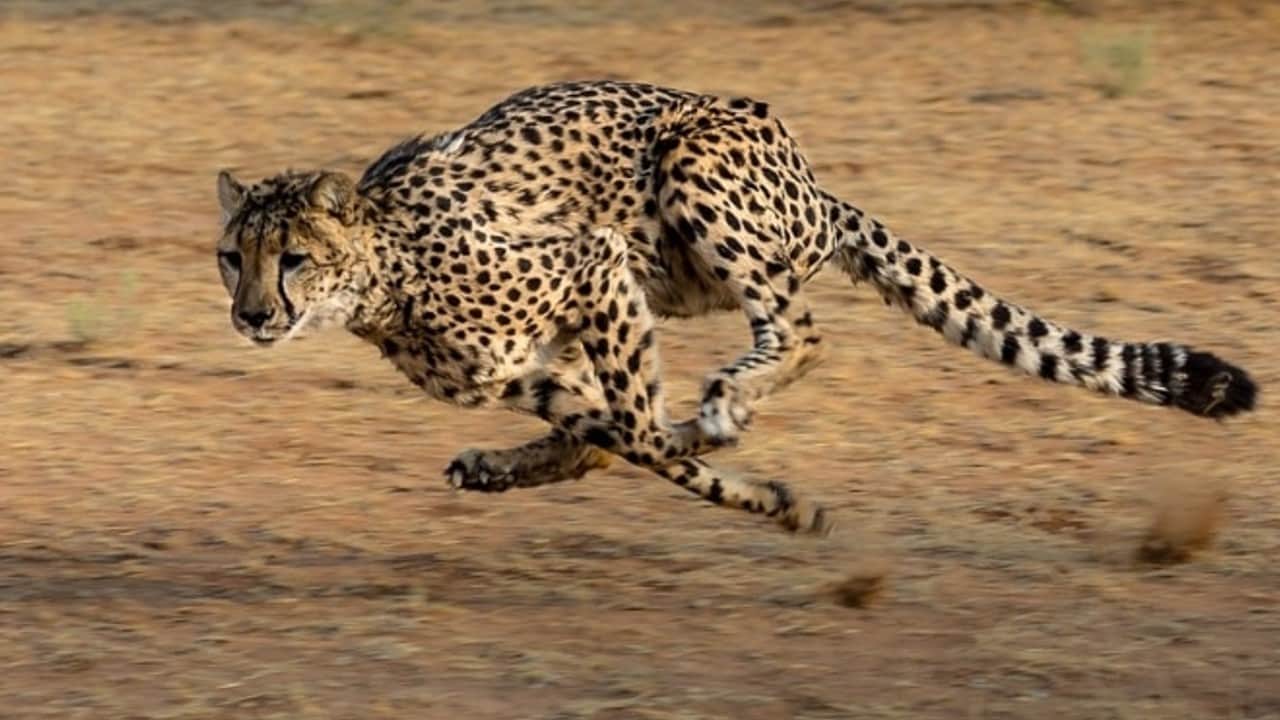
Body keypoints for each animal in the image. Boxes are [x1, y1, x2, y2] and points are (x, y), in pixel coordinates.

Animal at [214, 80, 1257, 536]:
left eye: (292, 258)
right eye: (233, 258)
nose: (252, 316)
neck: (383, 274)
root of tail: (813, 181)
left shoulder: (592, 263)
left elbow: (640, 432)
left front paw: (757, 484)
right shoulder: (525, 369)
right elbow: (616, 437)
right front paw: (765, 495)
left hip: (693, 173)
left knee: (800, 330)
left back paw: (725, 401)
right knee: (616, 429)